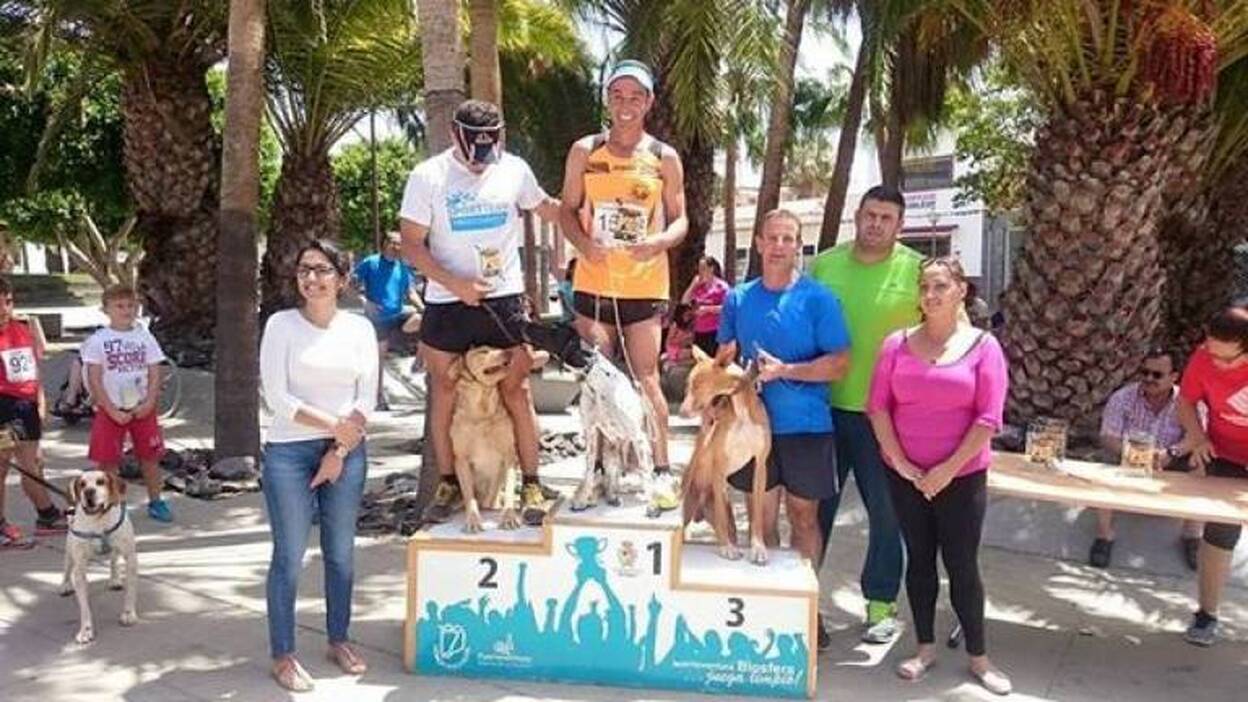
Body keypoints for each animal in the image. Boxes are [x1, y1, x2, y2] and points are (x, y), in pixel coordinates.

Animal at [59, 470, 138, 643]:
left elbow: (130, 592)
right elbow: (84, 607)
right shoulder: (80, 568)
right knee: (67, 568)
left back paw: (114, 579)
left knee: (113, 560)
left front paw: (128, 614)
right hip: (69, 552)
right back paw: (65, 585)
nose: (89, 492)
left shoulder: (130, 558)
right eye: (82, 484)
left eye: (100, 482)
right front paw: (85, 630)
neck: (98, 521)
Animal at [448, 345, 548, 532]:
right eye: (483, 351)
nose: (510, 351)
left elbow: (509, 488)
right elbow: (469, 497)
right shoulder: (461, 459)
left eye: (495, 346)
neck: (482, 411)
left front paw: (509, 517)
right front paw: (473, 520)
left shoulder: (509, 455)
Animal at [678, 345, 771, 564]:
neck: (742, 409)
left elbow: (757, 515)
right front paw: (726, 547)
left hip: (730, 520)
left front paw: (758, 547)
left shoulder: (760, 465)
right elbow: (720, 515)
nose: (681, 411)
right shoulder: (719, 464)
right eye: (688, 384)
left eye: (697, 384)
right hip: (686, 511)